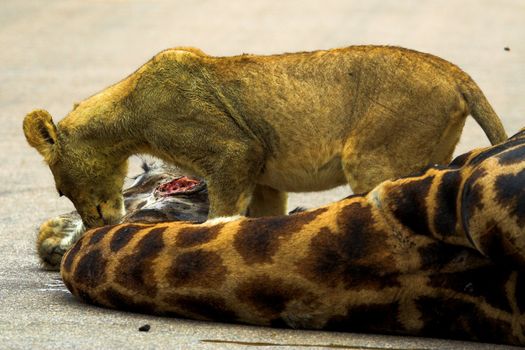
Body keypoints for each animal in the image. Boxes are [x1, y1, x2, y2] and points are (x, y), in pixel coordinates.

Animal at [22, 45, 506, 228]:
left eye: (62, 191)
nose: (94, 227)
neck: (129, 112)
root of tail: (454, 72)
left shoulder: (234, 152)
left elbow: (221, 211)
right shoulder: (264, 176)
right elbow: (263, 215)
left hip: (373, 158)